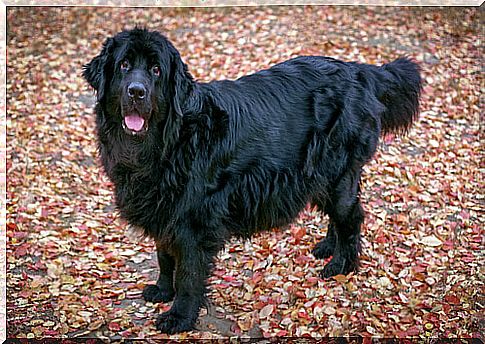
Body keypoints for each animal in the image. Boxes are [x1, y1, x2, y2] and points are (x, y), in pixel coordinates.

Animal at [83, 28, 420, 334]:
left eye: (156, 70)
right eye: (124, 65)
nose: (136, 91)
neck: (169, 141)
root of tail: (359, 71)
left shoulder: (194, 220)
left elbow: (189, 273)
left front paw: (179, 317)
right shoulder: (163, 209)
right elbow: (165, 256)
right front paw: (163, 290)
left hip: (337, 172)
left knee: (350, 217)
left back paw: (341, 266)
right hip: (320, 175)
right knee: (339, 216)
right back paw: (327, 247)